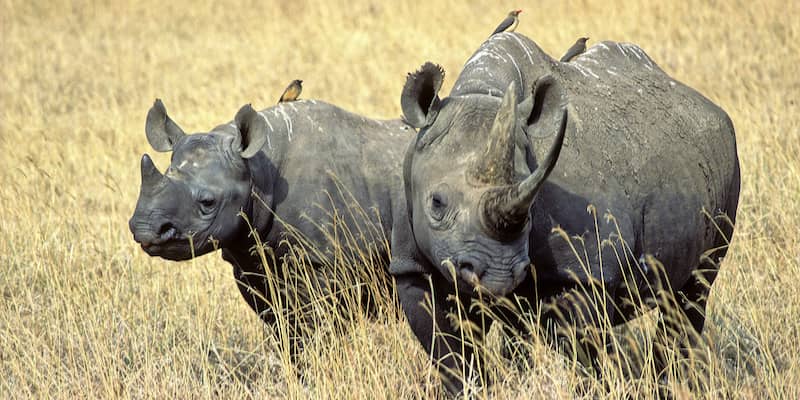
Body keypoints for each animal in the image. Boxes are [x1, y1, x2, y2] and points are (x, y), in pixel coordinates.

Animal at [390, 32, 740, 394]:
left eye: (530, 210)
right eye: (436, 203)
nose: (498, 277)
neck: (484, 93)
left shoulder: (585, 272)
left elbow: (582, 352)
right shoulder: (414, 265)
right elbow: (452, 355)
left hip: (726, 163)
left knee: (692, 291)